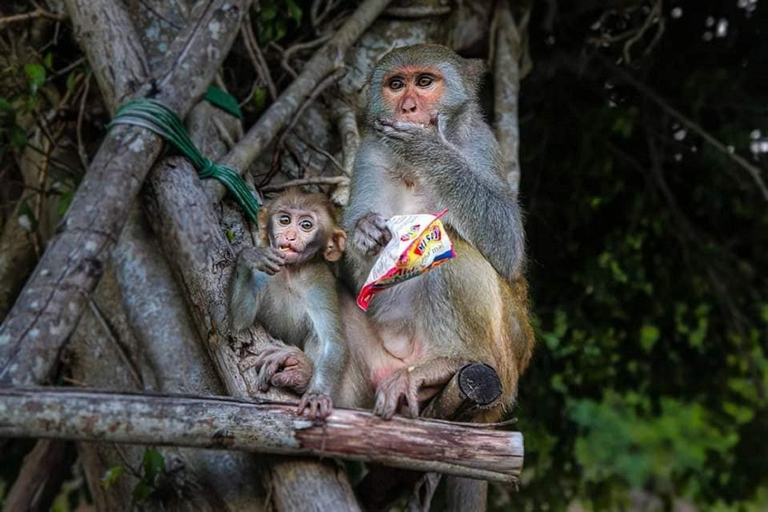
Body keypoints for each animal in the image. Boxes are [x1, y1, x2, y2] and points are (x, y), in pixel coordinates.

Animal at [229, 189, 348, 420]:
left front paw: (317, 396)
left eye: (306, 225)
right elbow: (239, 322)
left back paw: (299, 373)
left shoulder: (319, 282)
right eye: (284, 220)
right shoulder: (265, 272)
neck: (290, 273)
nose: (290, 236)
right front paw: (251, 255)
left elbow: (332, 341)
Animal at [341, 44, 535, 511]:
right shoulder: (368, 153)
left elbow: (506, 244)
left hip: (505, 361)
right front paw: (364, 231)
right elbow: (364, 265)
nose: (408, 107)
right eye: (396, 85)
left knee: (450, 250)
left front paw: (428, 148)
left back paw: (450, 363)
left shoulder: (481, 143)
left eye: (425, 82)